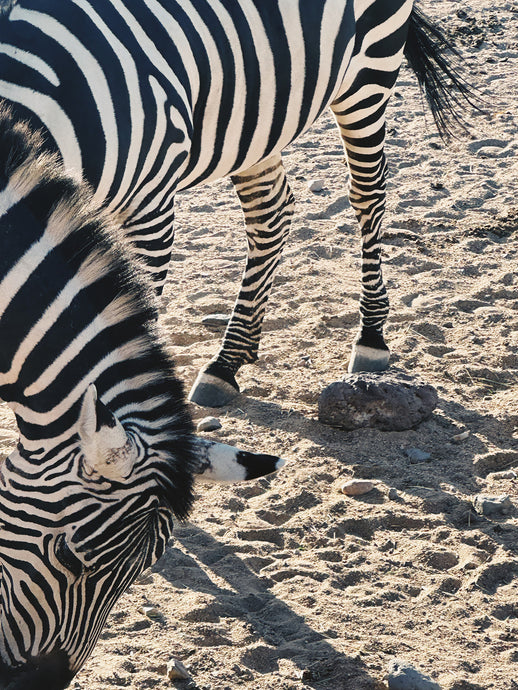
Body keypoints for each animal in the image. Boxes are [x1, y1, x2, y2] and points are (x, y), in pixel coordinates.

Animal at [0, 0, 474, 412]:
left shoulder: (148, 208)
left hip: (370, 65)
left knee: (367, 193)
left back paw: (371, 336)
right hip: (257, 104)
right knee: (272, 211)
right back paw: (226, 365)